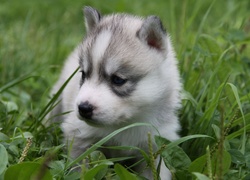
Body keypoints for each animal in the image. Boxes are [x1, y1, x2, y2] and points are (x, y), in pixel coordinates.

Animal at [50, 6, 183, 179]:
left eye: (118, 80)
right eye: (84, 74)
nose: (83, 108)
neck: (125, 124)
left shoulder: (157, 146)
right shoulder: (79, 137)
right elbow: (79, 168)